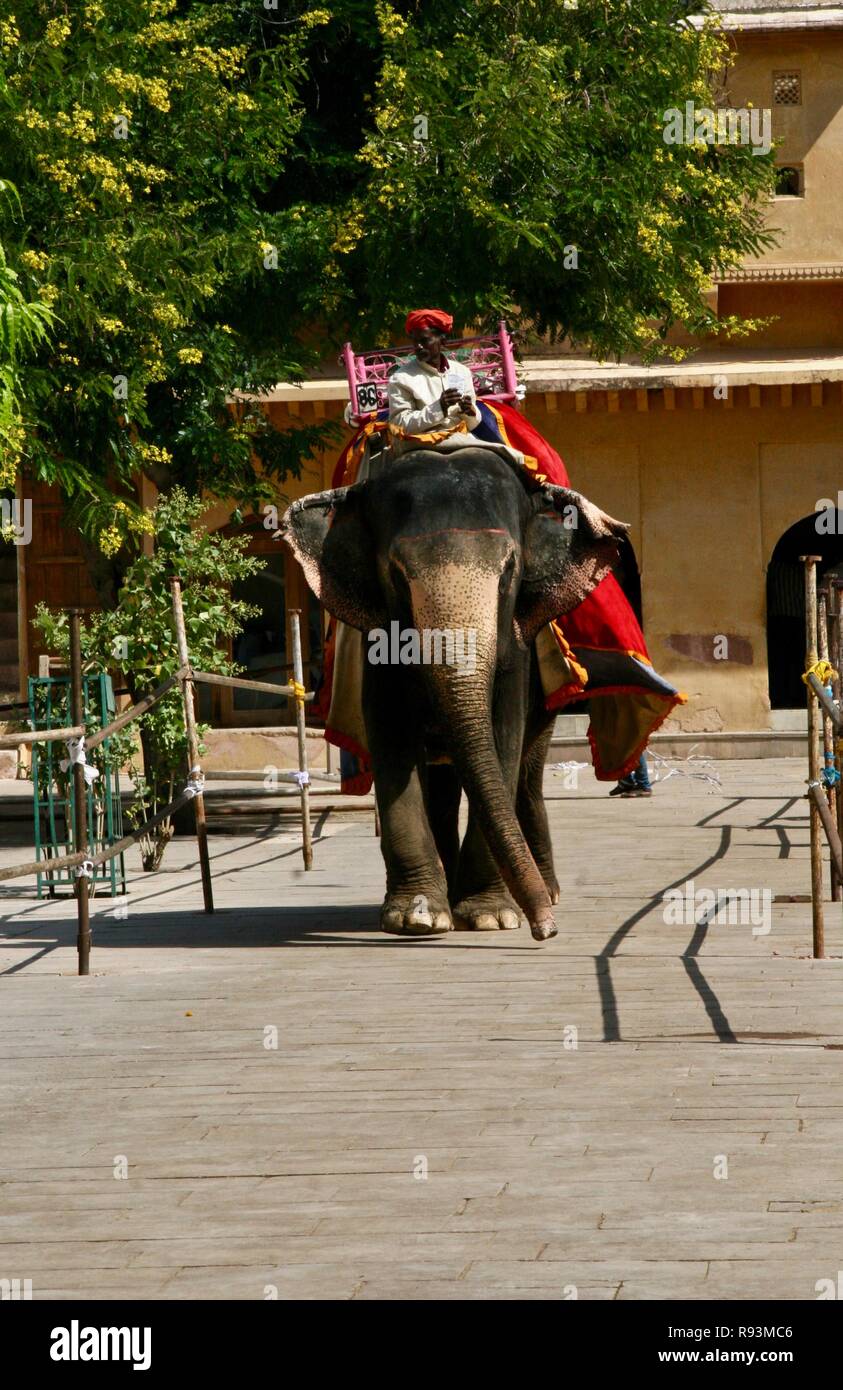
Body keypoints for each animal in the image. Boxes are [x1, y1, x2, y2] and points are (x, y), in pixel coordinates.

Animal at [282, 447, 627, 942]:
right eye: (396, 574)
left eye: (508, 572)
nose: (546, 931)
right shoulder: (376, 646)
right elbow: (393, 738)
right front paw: (417, 918)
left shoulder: (515, 649)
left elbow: (502, 738)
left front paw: (490, 917)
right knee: (443, 790)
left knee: (526, 776)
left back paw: (545, 890)